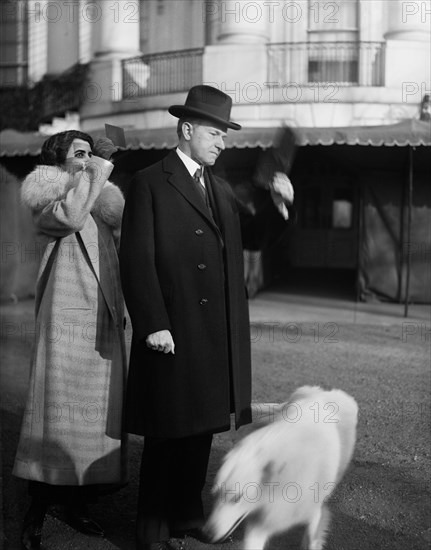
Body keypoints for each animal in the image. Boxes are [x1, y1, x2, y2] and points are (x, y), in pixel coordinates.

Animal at [205, 388, 358, 550]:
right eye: (215, 494)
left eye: (237, 498)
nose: (206, 535)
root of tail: (322, 392)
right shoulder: (261, 523)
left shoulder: (313, 513)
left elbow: (313, 538)